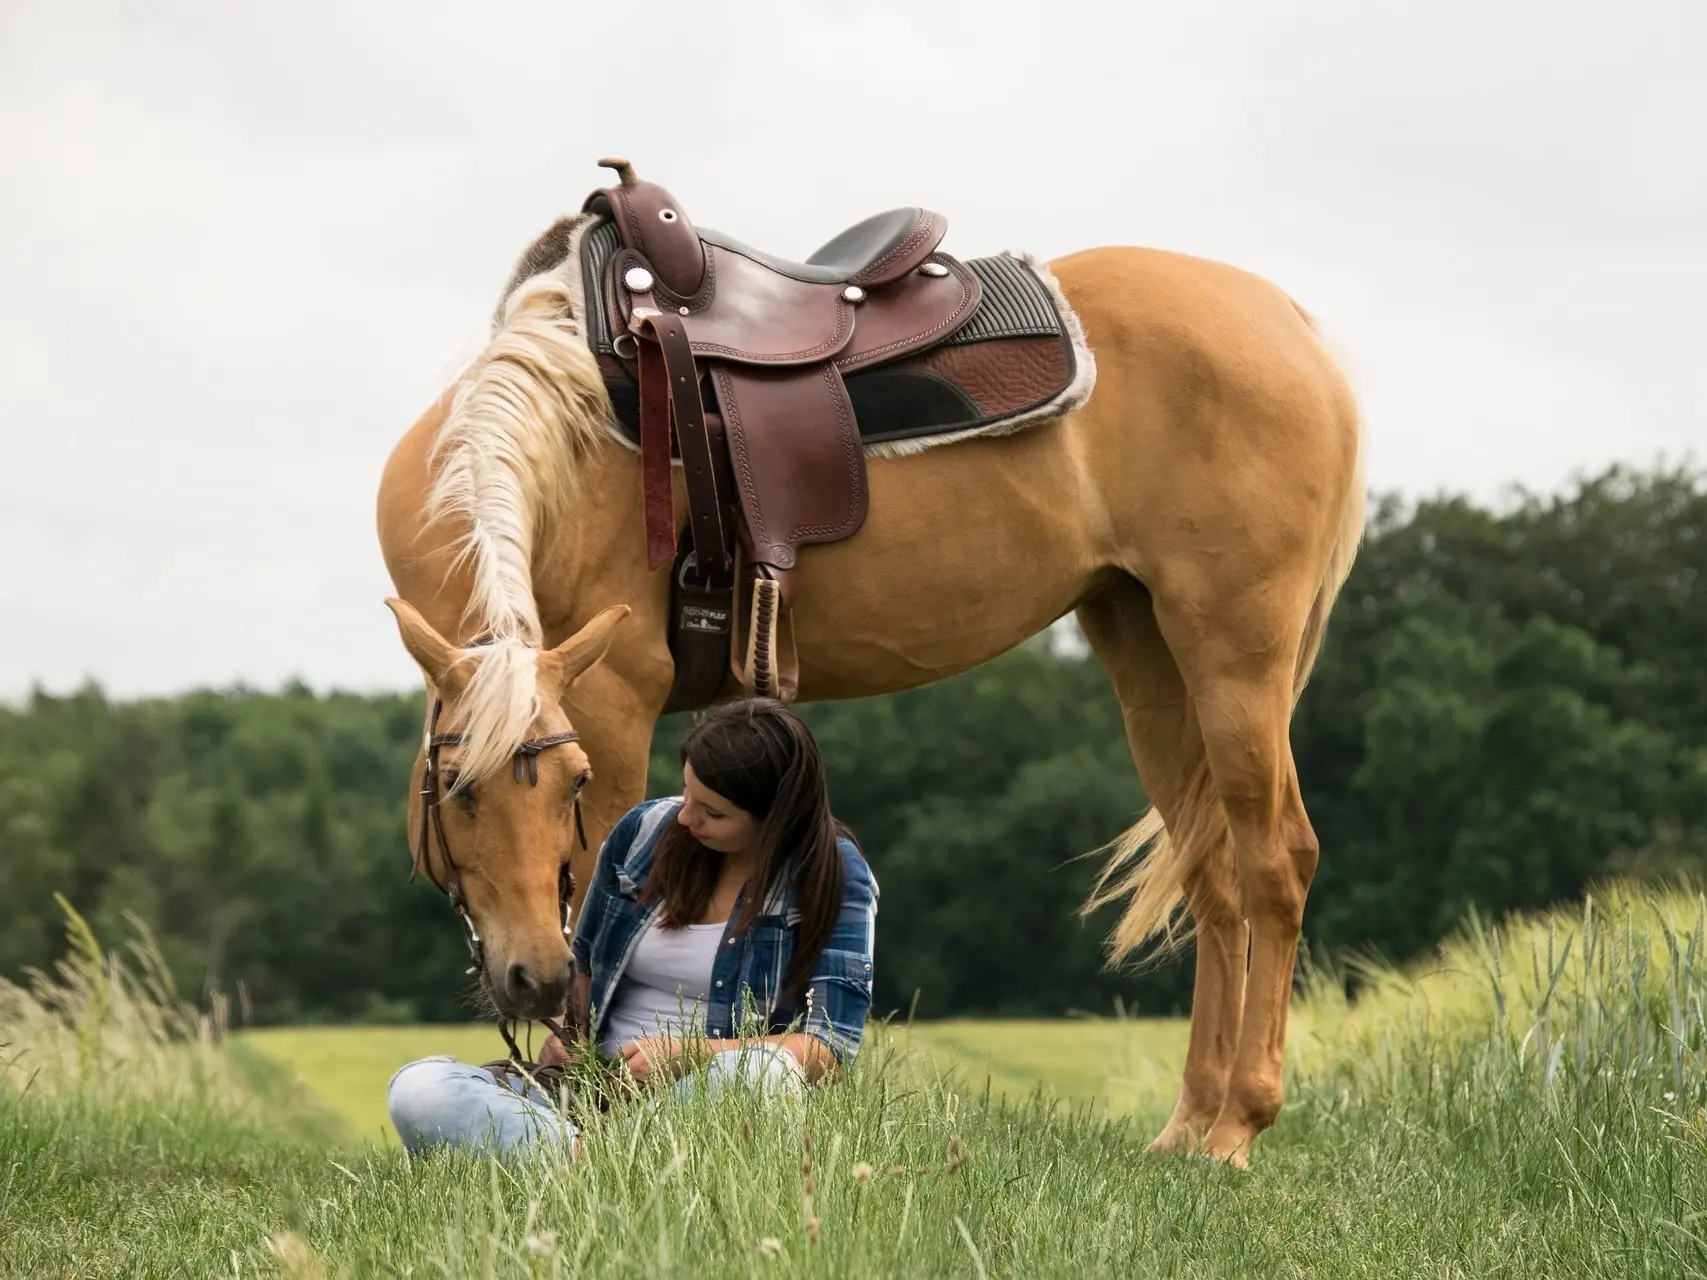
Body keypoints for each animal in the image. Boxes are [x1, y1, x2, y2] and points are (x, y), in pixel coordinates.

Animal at [373, 180, 1358, 1174]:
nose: (531, 976)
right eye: (452, 788)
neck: (566, 437)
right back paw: (1188, 1126)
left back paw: (1237, 1126)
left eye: (569, 784)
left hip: (1234, 650)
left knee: (1275, 858)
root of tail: (1291, 324)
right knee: (1211, 872)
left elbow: (598, 889)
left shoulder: (614, 701)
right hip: (1148, 652)